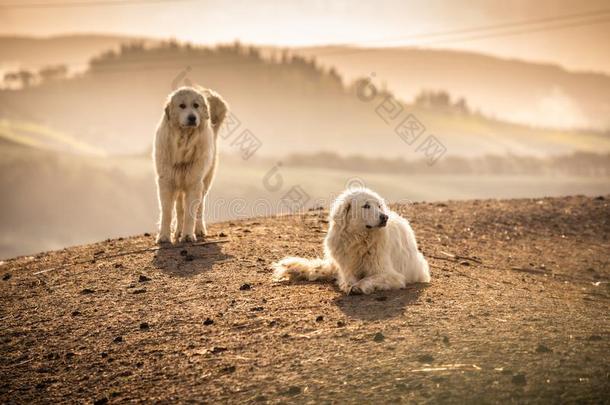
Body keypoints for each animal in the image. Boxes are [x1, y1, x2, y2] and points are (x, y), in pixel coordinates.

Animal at [153, 86, 227, 241]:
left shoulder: (194, 182)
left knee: (200, 208)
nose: (192, 118)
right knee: (179, 208)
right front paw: (164, 236)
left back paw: (198, 230)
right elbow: (167, 212)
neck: (183, 142)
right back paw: (178, 231)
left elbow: (190, 213)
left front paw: (188, 235)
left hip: (204, 183)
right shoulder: (166, 182)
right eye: (182, 106)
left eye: (196, 105)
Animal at [270, 186, 428, 294]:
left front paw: (359, 286)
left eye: (379, 206)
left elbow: (369, 278)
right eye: (366, 206)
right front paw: (348, 285)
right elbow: (347, 277)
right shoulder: (346, 266)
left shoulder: (391, 275)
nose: (385, 217)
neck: (359, 239)